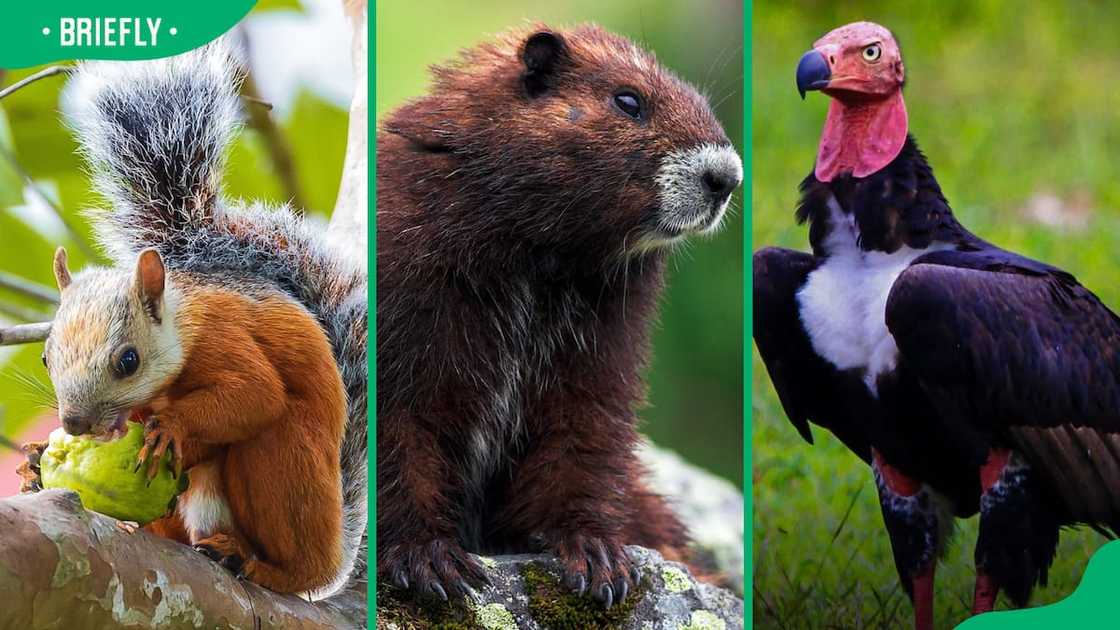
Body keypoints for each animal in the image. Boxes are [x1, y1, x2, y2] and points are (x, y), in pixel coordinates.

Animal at [18, 41, 367, 596]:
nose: (72, 423)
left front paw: (172, 425)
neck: (181, 330)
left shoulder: (225, 338)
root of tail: (334, 559)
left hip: (284, 468)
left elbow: (256, 393)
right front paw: (33, 461)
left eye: (128, 361)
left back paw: (258, 563)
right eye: (47, 359)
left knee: (283, 535)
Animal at [376, 22, 743, 605]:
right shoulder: (406, 277)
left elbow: (585, 421)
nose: (727, 178)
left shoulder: (608, 322)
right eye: (628, 101)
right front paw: (427, 556)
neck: (543, 258)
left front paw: (594, 554)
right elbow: (397, 418)